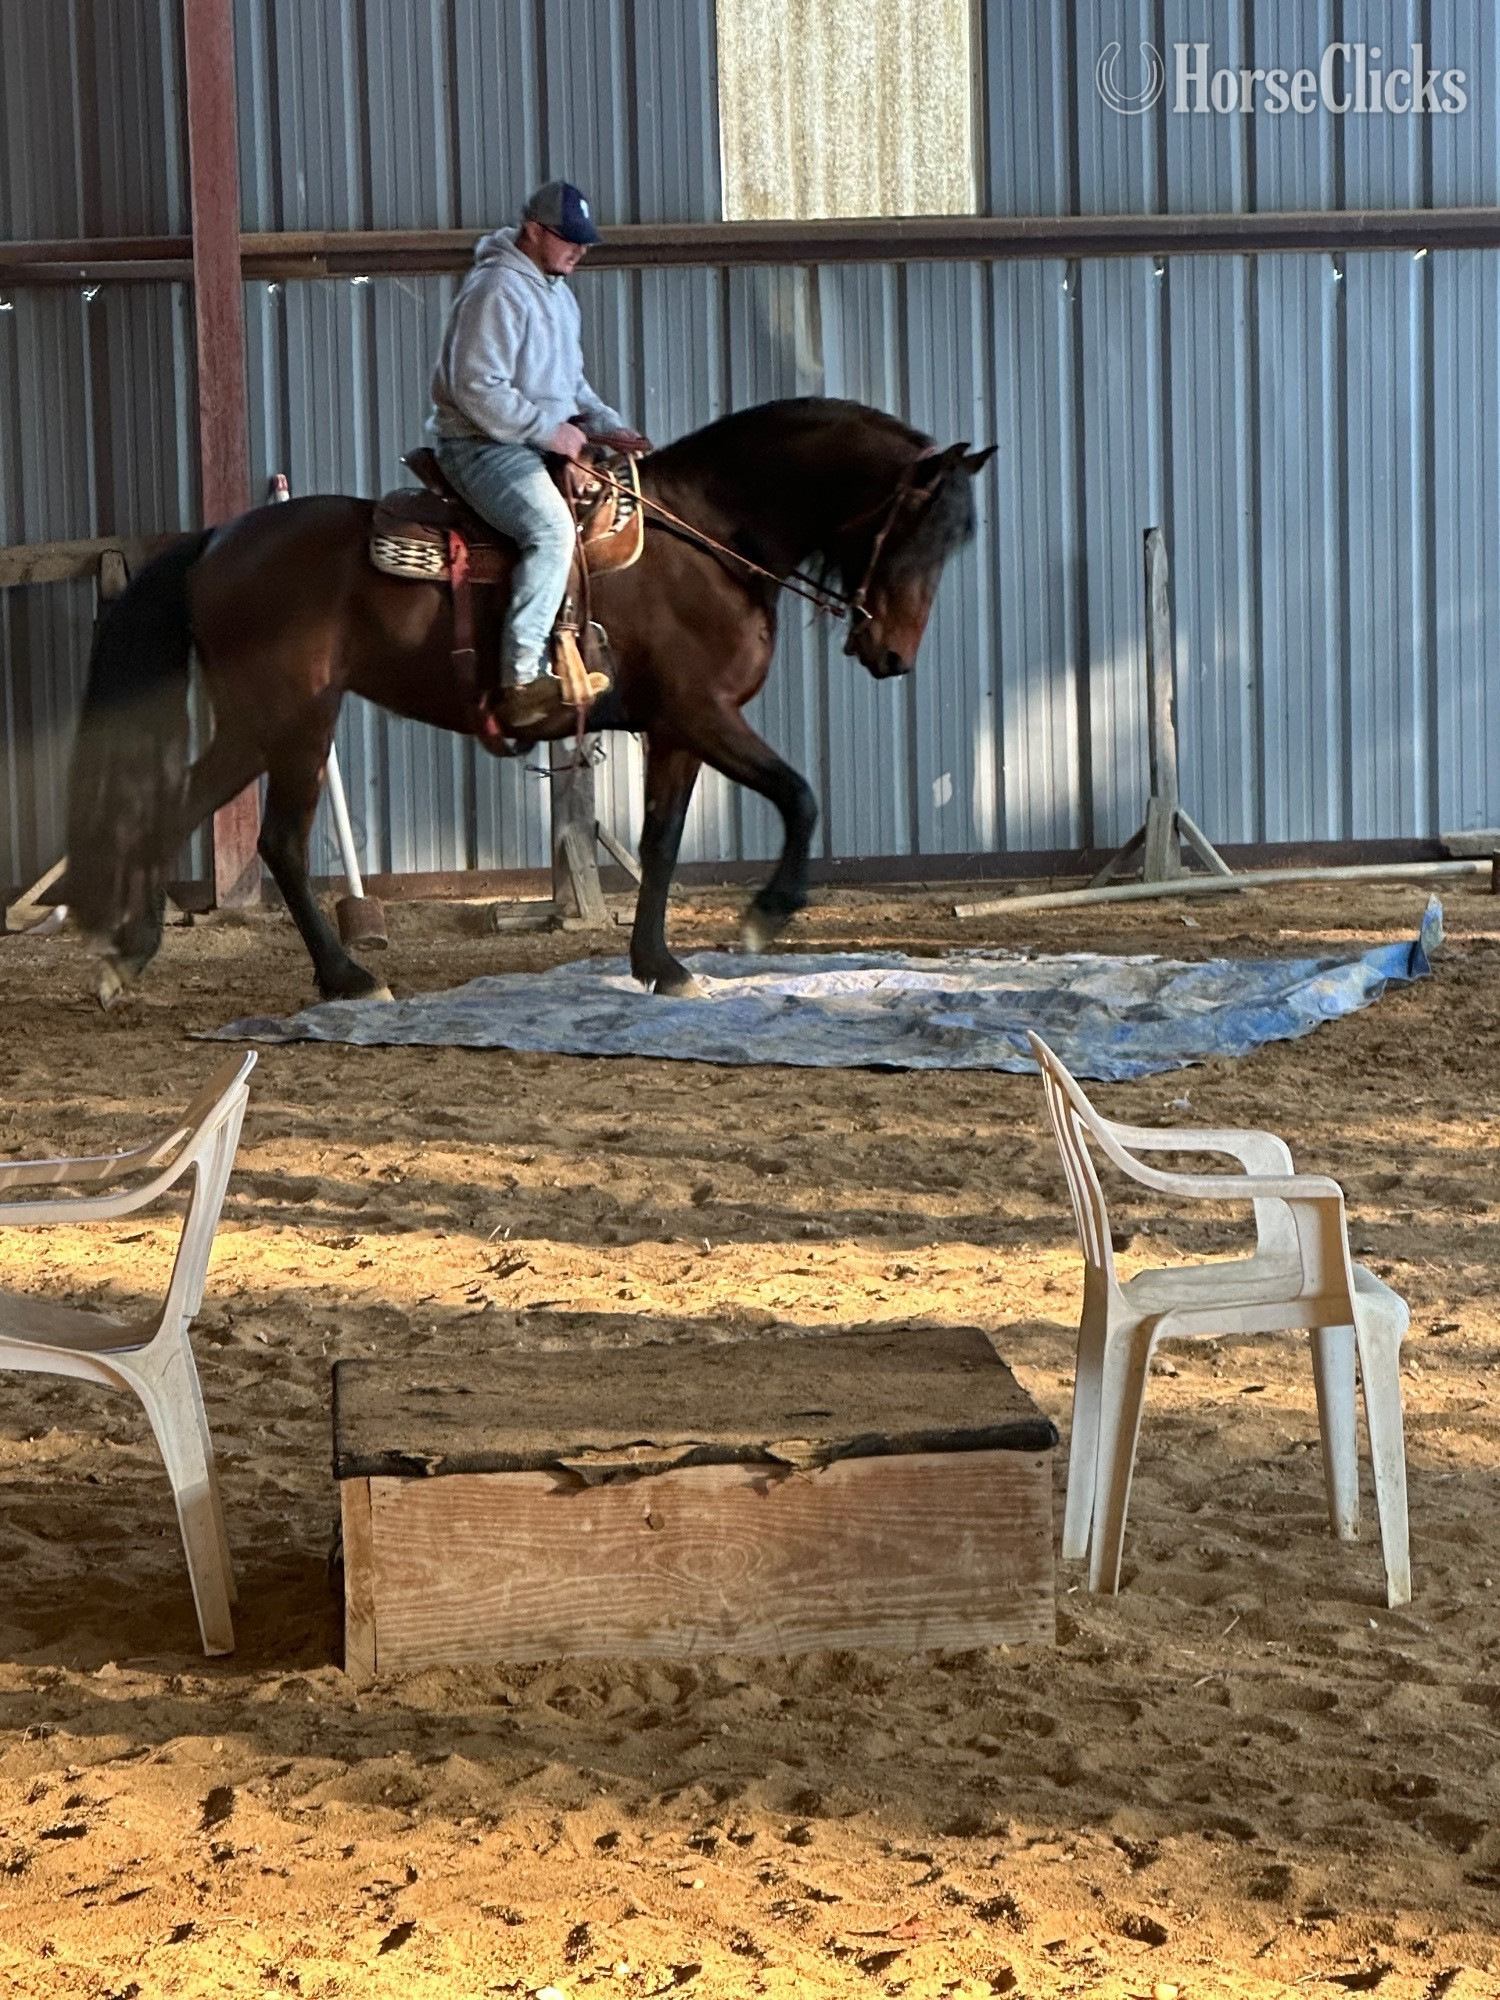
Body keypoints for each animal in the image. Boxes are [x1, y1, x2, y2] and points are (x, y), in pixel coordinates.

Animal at [64, 397, 993, 1007]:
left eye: (955, 540)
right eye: (917, 532)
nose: (892, 655)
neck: (708, 540)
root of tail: (219, 539)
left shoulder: (675, 731)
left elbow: (660, 844)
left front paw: (660, 965)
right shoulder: (705, 713)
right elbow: (799, 796)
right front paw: (766, 916)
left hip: (264, 724)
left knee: (188, 808)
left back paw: (129, 955)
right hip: (293, 721)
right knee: (278, 840)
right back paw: (346, 977)